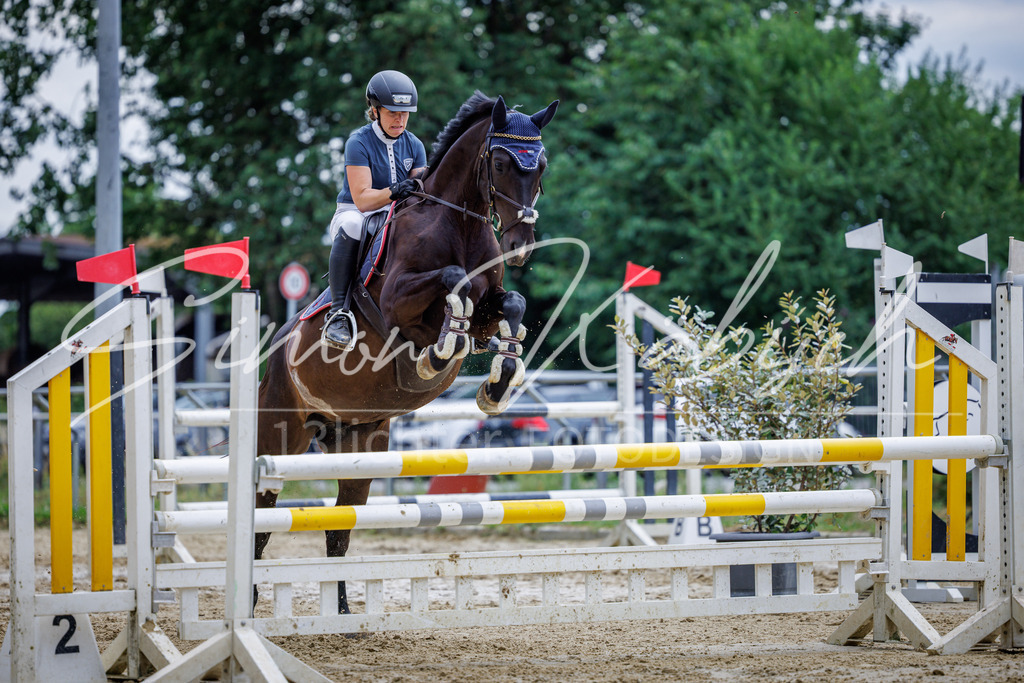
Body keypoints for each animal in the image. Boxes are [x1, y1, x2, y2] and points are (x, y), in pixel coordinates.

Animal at [253, 91, 558, 614]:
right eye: (499, 163)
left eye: (540, 165)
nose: (520, 246)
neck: (458, 222)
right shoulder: (399, 304)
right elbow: (453, 281)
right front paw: (438, 353)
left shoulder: (490, 308)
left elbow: (511, 305)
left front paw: (498, 381)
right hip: (279, 439)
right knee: (260, 520)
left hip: (360, 445)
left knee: (339, 531)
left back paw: (342, 614)